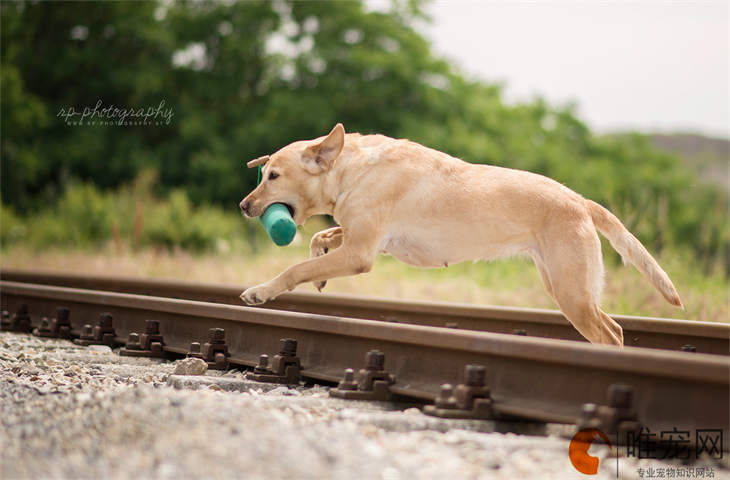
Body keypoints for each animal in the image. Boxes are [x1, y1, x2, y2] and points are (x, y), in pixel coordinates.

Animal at [240, 124, 684, 344]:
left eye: (274, 176)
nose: (244, 206)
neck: (351, 169)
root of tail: (579, 199)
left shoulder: (361, 252)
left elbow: (294, 269)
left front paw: (261, 290)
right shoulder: (363, 240)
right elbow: (321, 240)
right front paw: (319, 267)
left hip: (571, 293)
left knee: (609, 333)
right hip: (568, 288)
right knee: (616, 328)